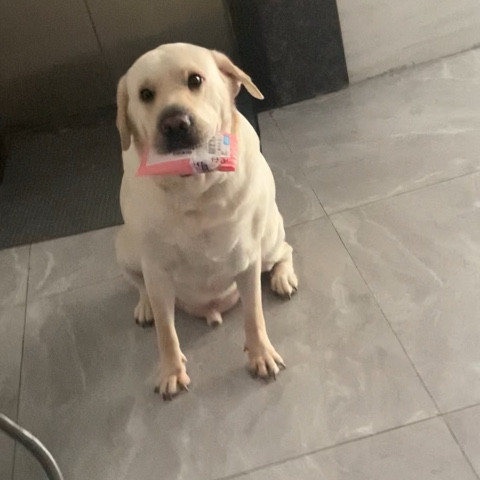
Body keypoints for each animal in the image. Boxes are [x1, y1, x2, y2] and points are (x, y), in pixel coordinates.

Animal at [115, 43, 298, 400]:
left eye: (195, 80)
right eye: (145, 94)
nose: (175, 123)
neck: (193, 188)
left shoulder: (248, 259)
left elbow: (254, 316)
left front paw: (261, 355)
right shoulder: (156, 270)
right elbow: (166, 332)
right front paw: (171, 371)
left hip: (269, 238)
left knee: (285, 250)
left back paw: (283, 278)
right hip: (124, 248)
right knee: (140, 287)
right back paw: (144, 308)